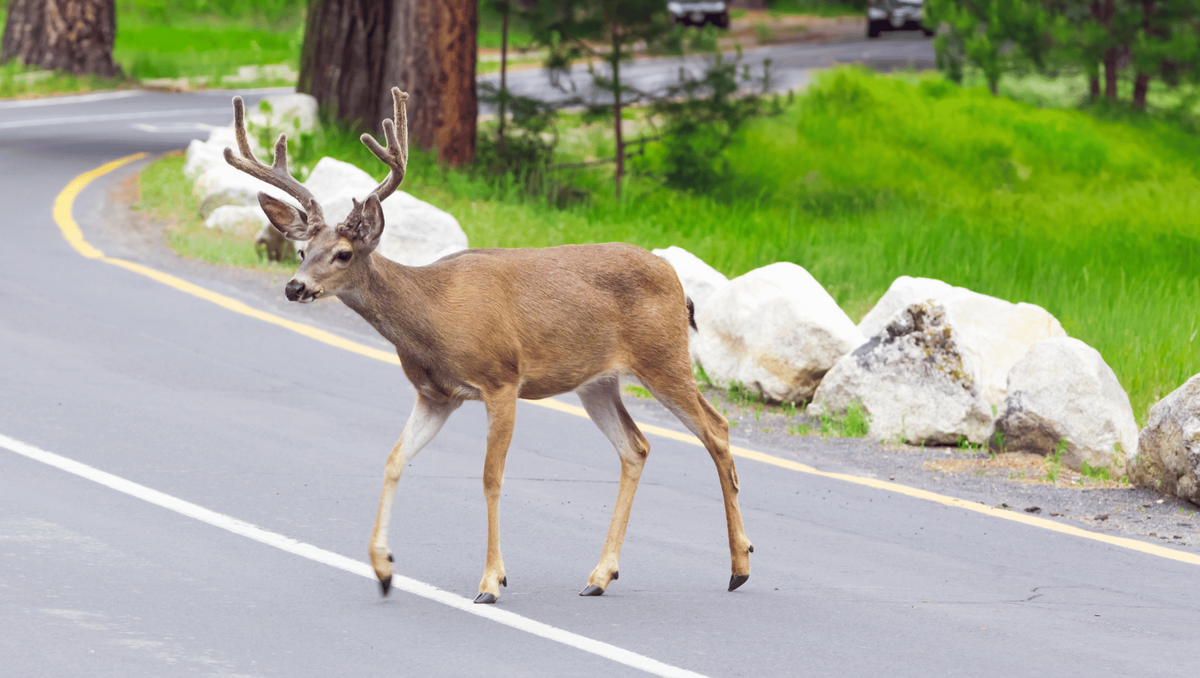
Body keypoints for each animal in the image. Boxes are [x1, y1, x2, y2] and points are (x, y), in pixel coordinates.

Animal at [223, 87, 753, 604]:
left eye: (343, 253)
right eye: (301, 250)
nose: (294, 287)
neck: (433, 318)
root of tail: (677, 280)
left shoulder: (501, 379)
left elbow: (490, 478)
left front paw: (491, 582)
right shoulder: (435, 395)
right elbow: (394, 459)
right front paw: (383, 569)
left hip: (663, 356)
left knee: (717, 429)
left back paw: (739, 567)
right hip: (597, 382)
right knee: (636, 446)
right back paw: (601, 575)